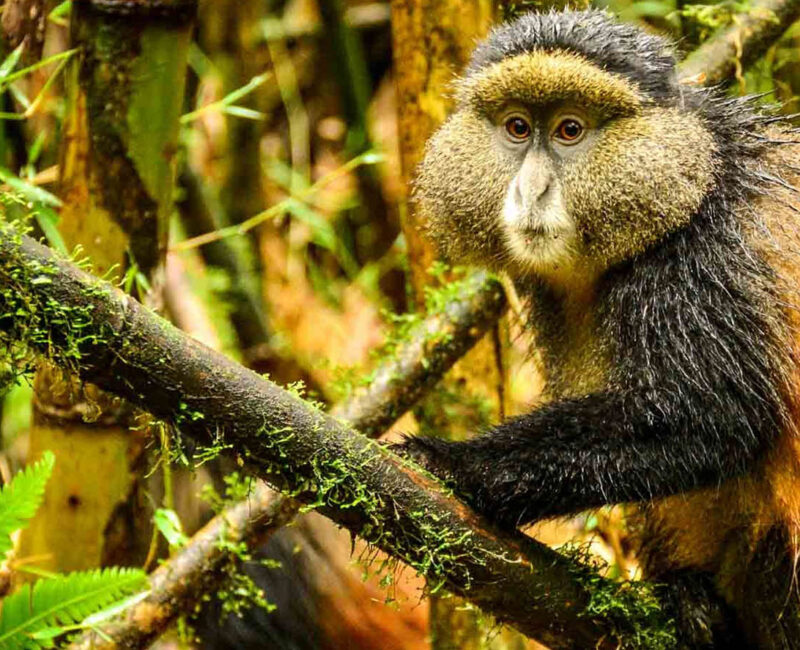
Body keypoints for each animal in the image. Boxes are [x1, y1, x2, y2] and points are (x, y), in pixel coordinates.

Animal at [396, 9, 800, 648]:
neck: (694, 176)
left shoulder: (705, 258)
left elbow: (714, 415)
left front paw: (451, 465)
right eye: (517, 128)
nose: (530, 190)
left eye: (569, 130)